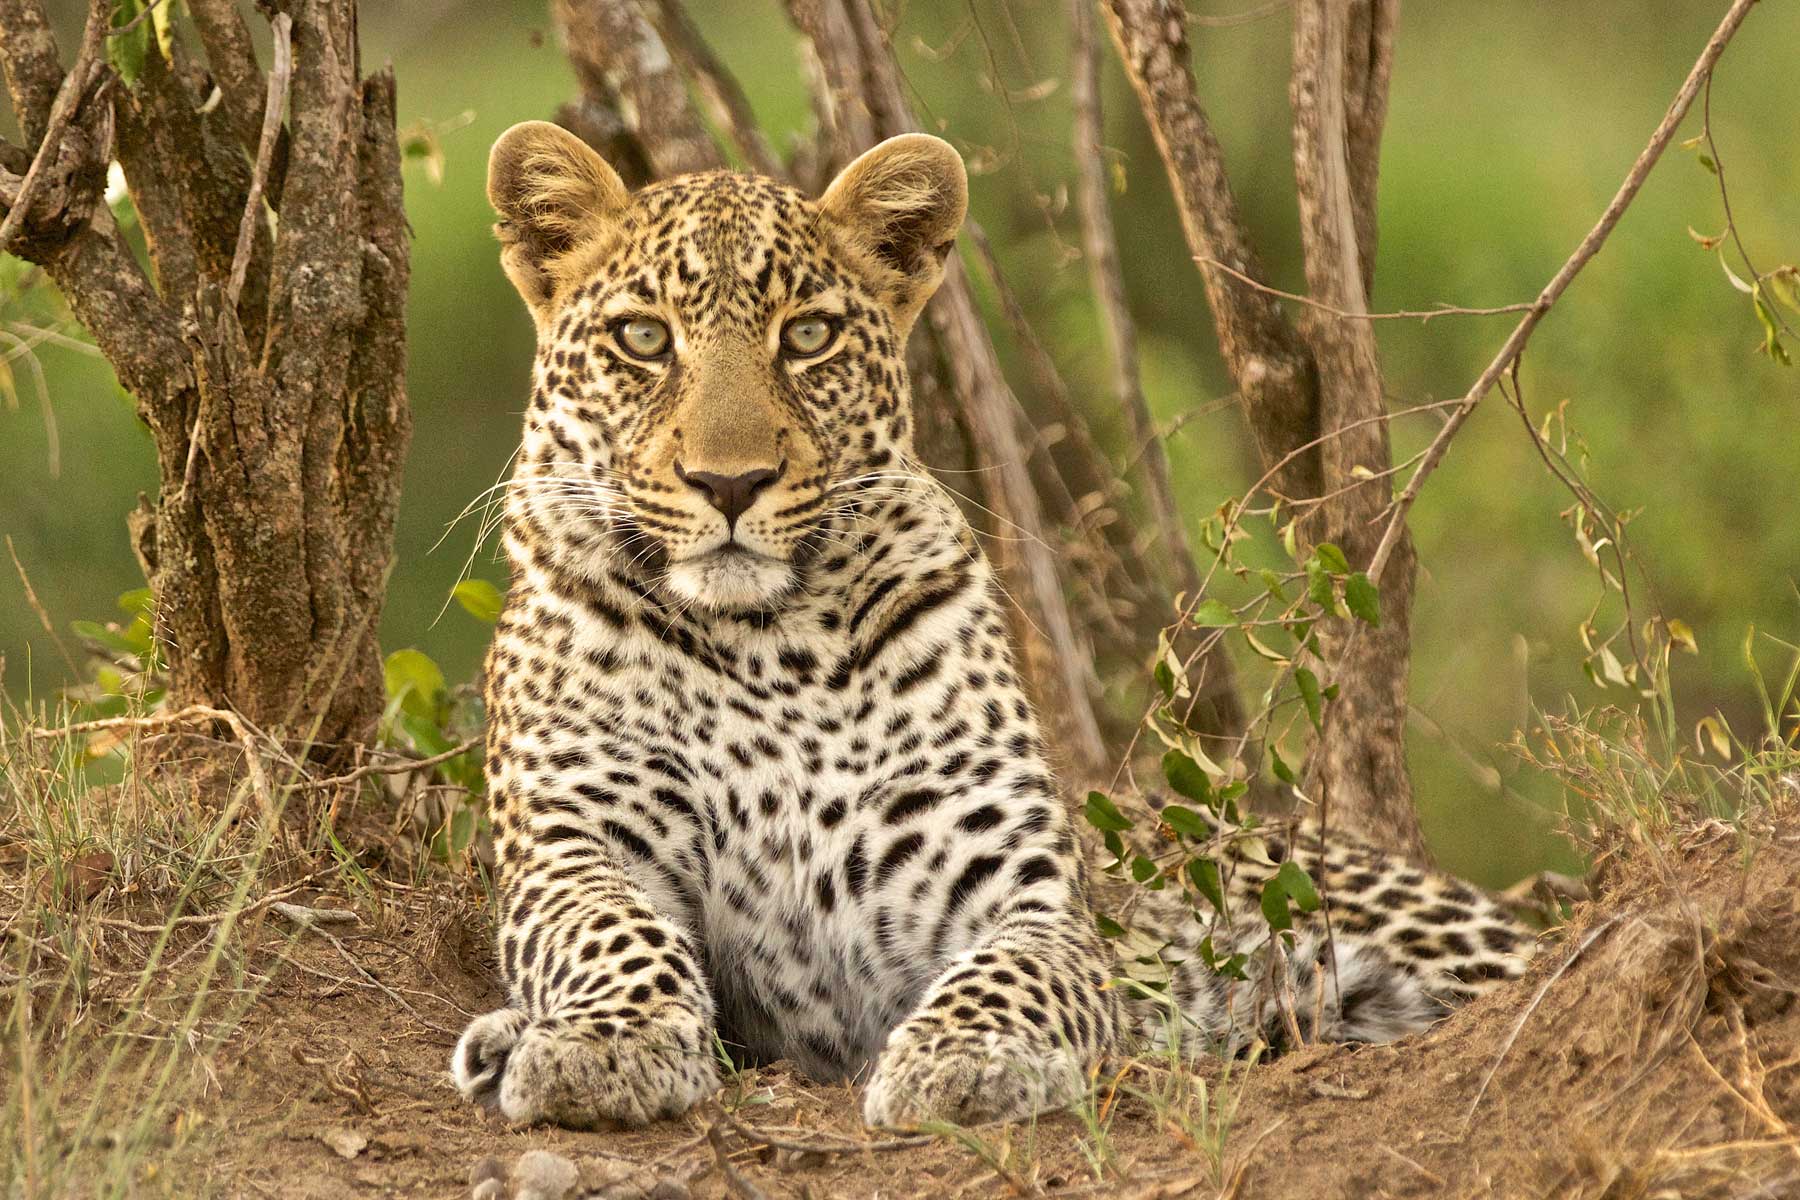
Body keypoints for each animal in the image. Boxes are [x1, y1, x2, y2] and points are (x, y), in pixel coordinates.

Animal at [449, 121, 1537, 1132]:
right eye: (642, 339)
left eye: (807, 337)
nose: (730, 482)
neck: (767, 644)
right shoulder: (574, 846)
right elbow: (613, 937)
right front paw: (601, 1043)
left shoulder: (1017, 887)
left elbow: (1015, 970)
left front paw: (963, 1058)